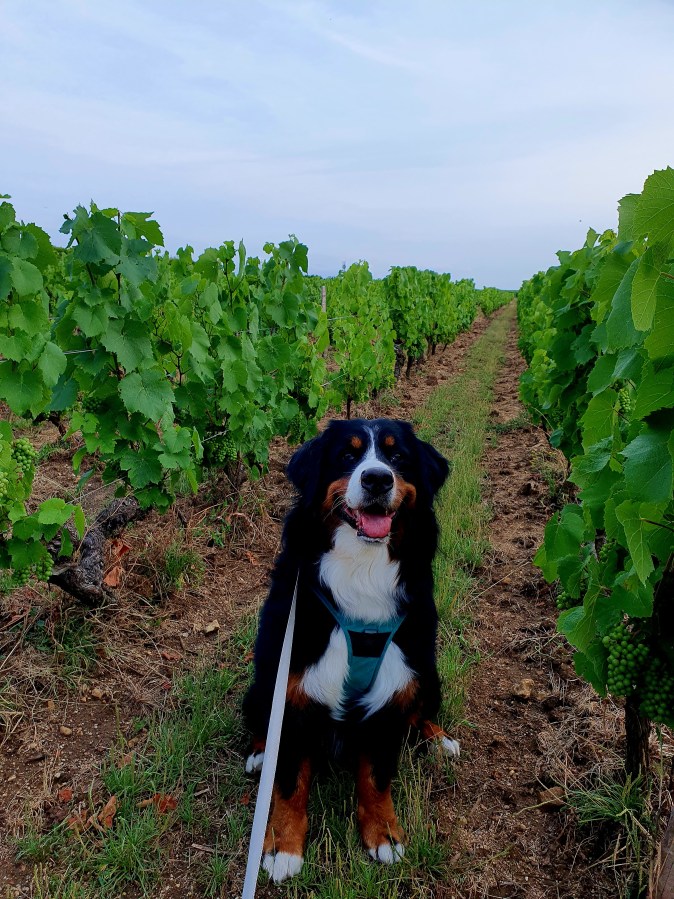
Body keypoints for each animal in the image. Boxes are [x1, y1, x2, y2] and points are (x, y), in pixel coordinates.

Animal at [242, 418, 460, 883]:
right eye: (347, 454)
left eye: (397, 456)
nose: (377, 478)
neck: (362, 570)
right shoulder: (292, 690)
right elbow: (289, 782)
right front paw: (283, 847)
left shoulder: (395, 687)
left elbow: (376, 777)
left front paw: (384, 835)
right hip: (262, 680)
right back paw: (260, 754)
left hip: (427, 673)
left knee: (424, 714)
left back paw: (440, 741)